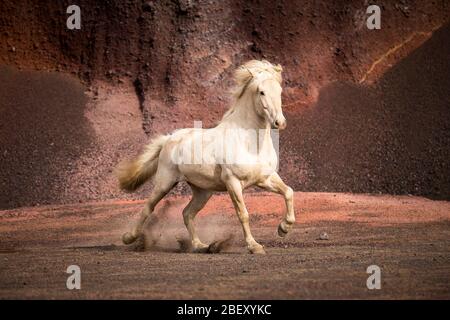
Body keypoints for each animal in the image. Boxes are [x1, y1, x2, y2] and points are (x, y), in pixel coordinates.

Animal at [116, 59, 296, 255]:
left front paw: (283, 228)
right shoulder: (233, 182)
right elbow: (243, 214)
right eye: (261, 92)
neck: (250, 143)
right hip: (165, 182)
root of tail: (169, 139)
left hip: (203, 191)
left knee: (187, 213)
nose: (280, 122)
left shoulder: (265, 178)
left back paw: (200, 245)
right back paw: (128, 238)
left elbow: (288, 192)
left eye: (279, 90)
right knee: (148, 208)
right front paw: (254, 246)